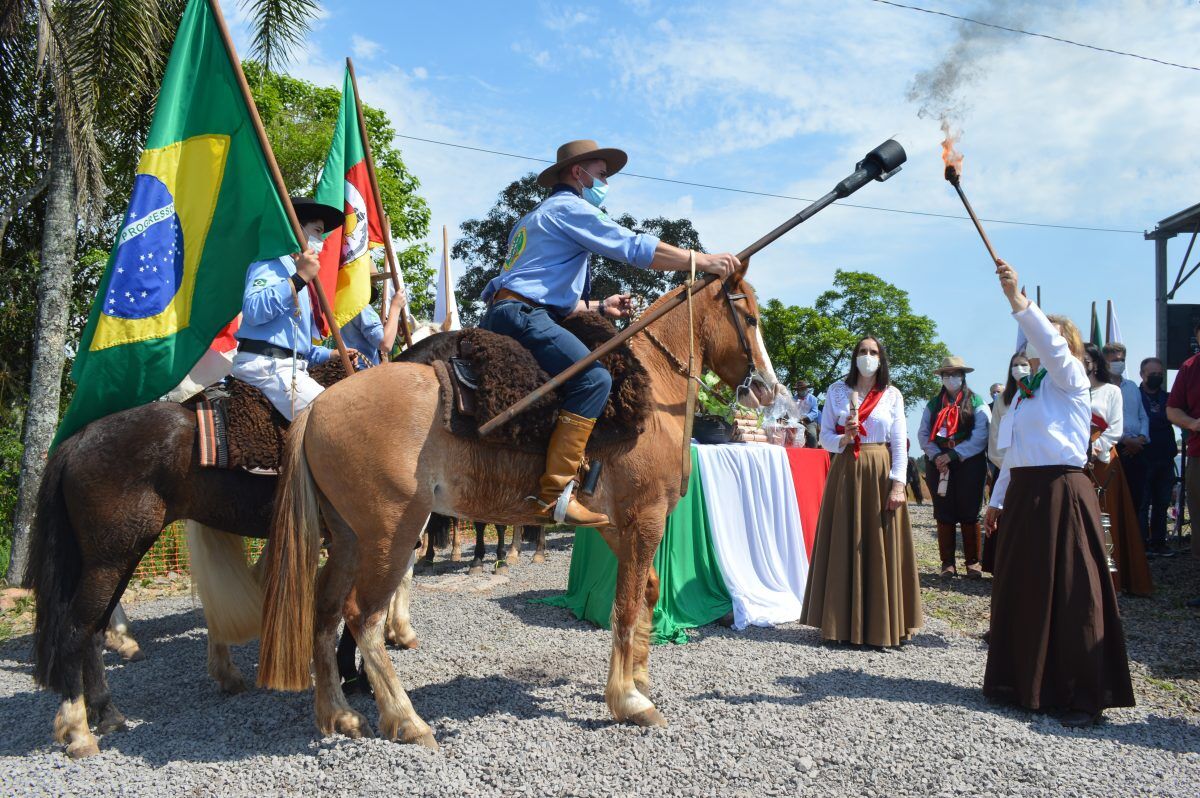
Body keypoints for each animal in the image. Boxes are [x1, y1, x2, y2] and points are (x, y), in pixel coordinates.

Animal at [256, 267, 772, 748]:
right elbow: (625, 607)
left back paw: (339, 714)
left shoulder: (617, 524)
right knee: (363, 617)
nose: (767, 388)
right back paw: (406, 720)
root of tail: (318, 408)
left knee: (325, 612)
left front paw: (640, 679)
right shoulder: (644, 517)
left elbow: (647, 591)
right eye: (749, 317)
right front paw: (629, 700)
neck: (653, 393)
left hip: (349, 537)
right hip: (391, 533)